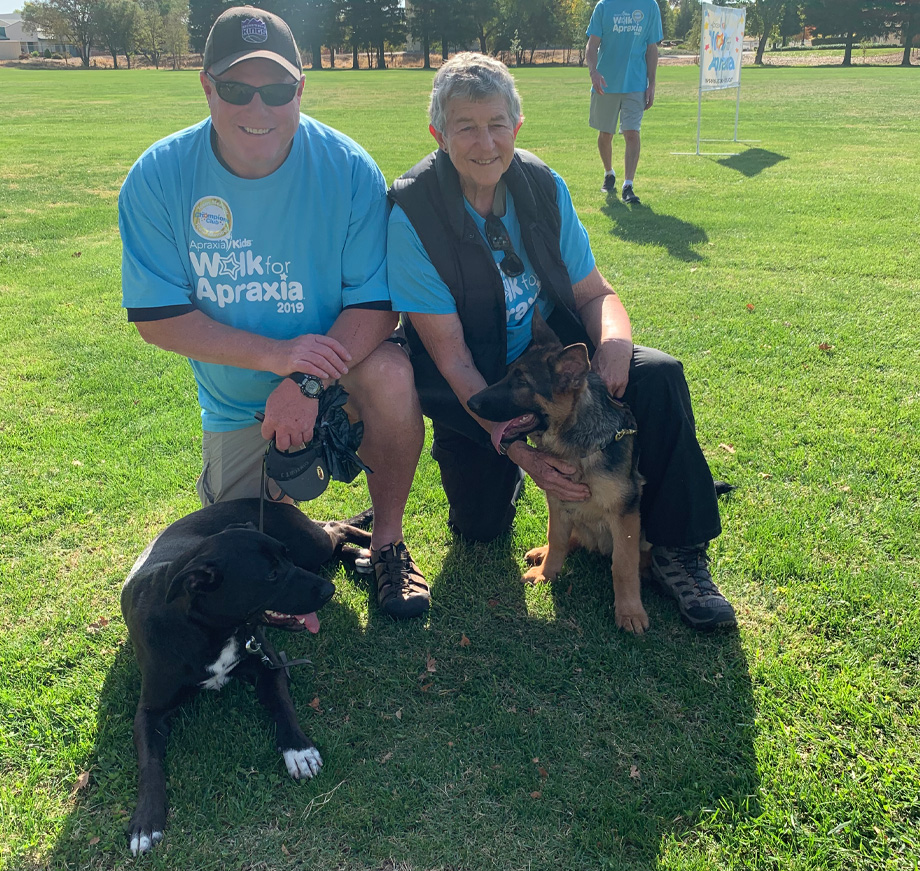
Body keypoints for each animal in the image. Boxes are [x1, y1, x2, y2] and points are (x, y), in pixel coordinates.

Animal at [120, 500, 372, 856]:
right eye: (271, 574)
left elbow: (283, 708)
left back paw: (370, 545)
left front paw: (299, 751)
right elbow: (149, 764)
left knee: (334, 529)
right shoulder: (149, 711)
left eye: (285, 557)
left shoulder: (270, 667)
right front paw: (146, 820)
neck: (207, 629)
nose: (329, 590)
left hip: (310, 546)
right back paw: (361, 556)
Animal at [468, 312, 648, 632]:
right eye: (508, 374)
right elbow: (558, 539)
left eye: (522, 381)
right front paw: (546, 572)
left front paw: (630, 611)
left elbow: (623, 565)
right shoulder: (558, 502)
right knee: (573, 538)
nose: (470, 403)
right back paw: (541, 553)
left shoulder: (624, 513)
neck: (578, 450)